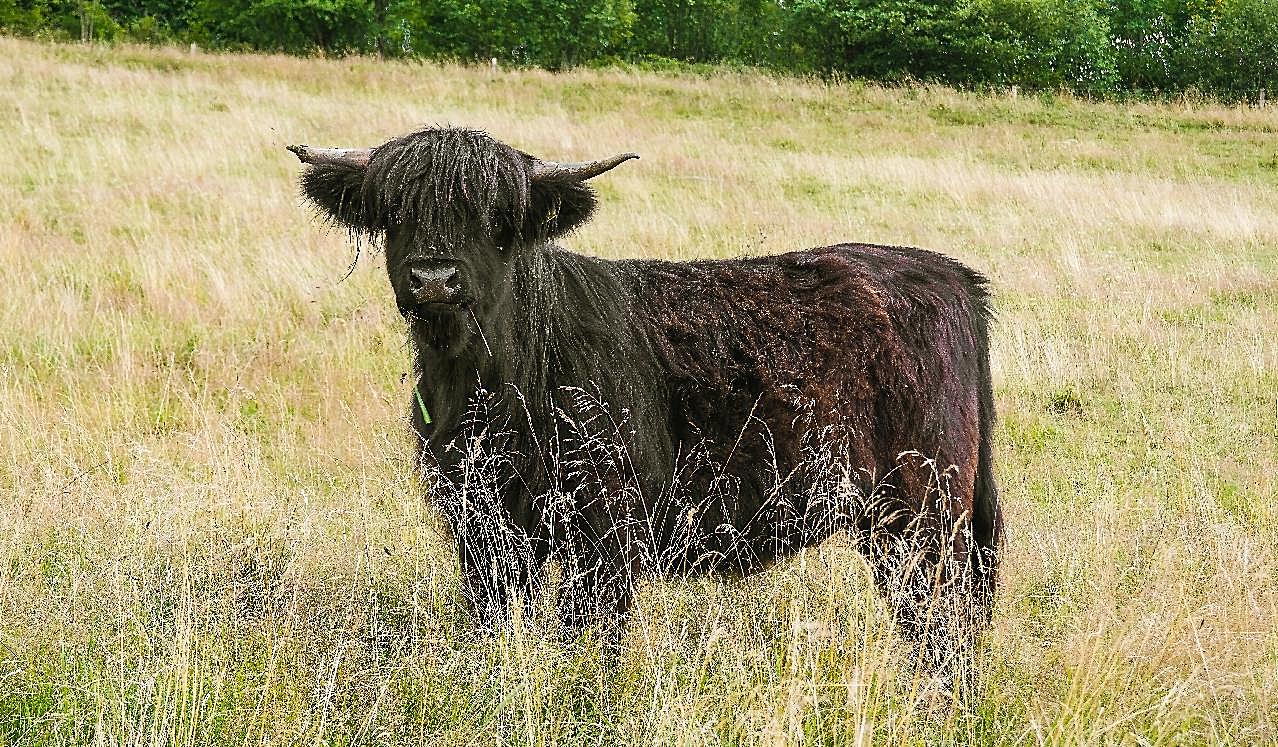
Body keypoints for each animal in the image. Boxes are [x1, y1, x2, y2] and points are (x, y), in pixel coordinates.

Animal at [292, 125, 1007, 669]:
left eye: (497, 220)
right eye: (393, 213)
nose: (435, 278)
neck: (489, 387)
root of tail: (950, 274)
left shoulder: (607, 537)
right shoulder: (481, 531)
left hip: (924, 512)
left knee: (940, 619)